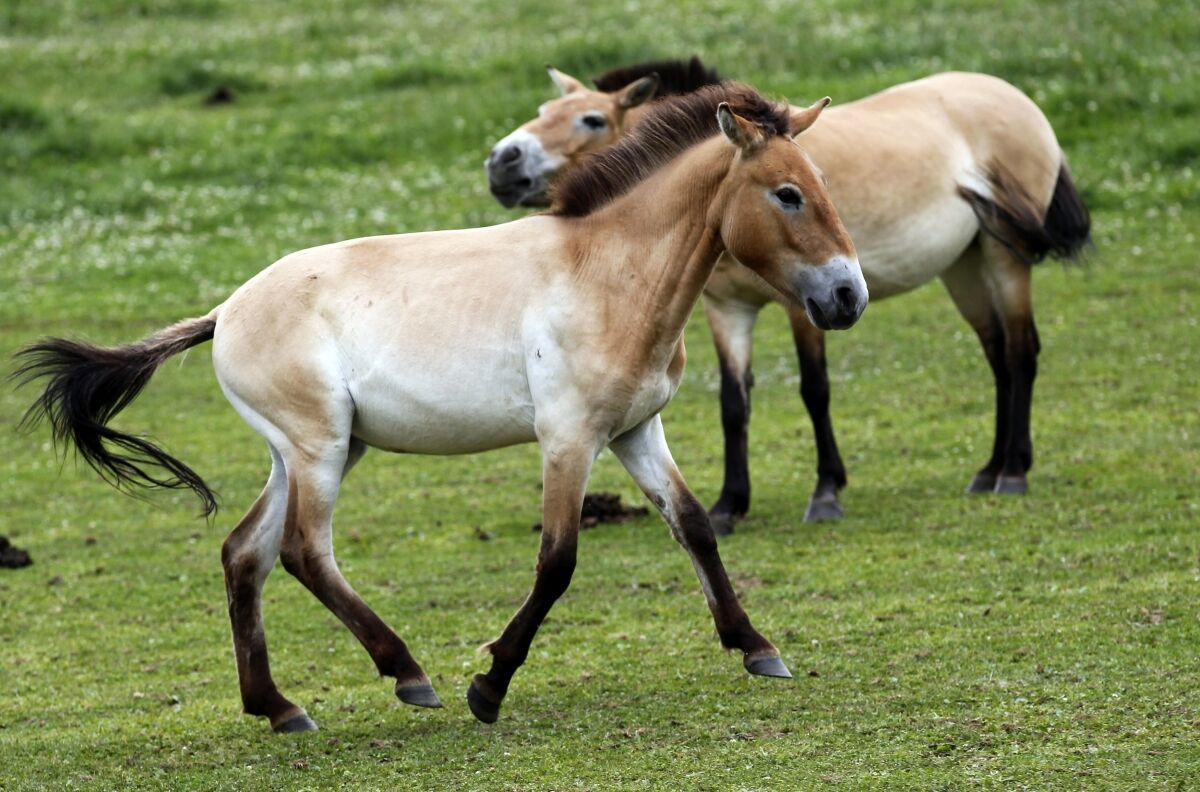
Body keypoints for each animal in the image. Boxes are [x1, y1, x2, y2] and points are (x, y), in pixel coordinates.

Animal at [16, 83, 864, 734]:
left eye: (824, 183)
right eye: (788, 194)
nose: (847, 296)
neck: (604, 272)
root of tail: (225, 311)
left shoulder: (633, 430)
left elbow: (694, 527)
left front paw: (757, 646)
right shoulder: (568, 439)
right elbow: (558, 561)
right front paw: (489, 686)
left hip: (306, 453)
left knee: (244, 554)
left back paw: (279, 708)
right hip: (320, 450)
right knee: (302, 552)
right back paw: (406, 673)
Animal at [484, 58, 1089, 532]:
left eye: (590, 119)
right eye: (544, 108)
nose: (500, 161)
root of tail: (1017, 98)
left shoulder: (808, 302)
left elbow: (814, 388)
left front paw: (825, 493)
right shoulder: (726, 309)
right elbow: (733, 403)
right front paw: (730, 504)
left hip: (1003, 259)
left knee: (1020, 351)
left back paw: (1012, 472)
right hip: (963, 267)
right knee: (998, 356)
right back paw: (989, 468)